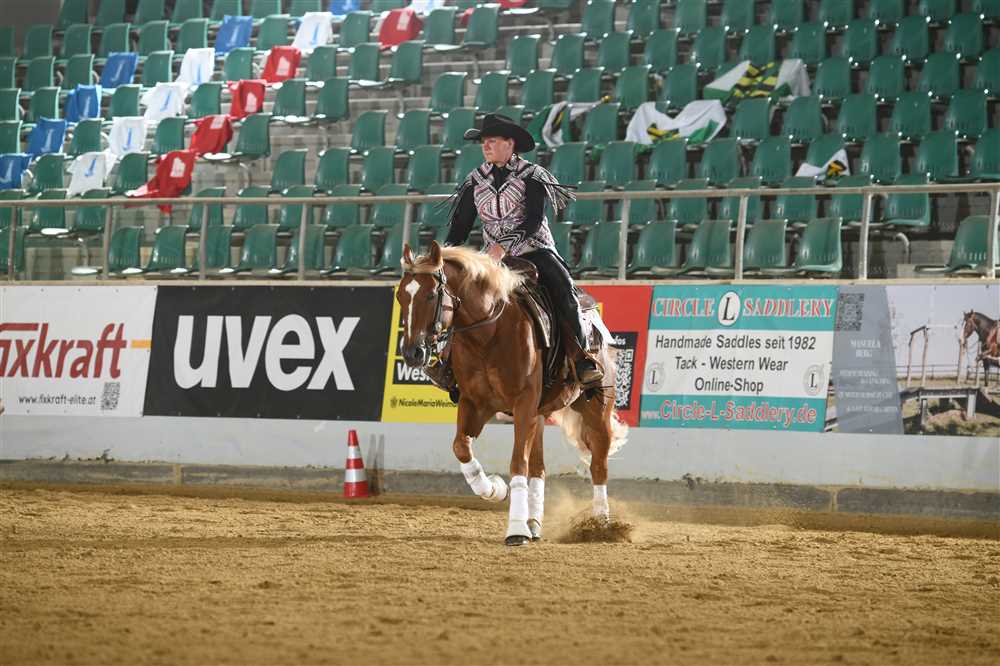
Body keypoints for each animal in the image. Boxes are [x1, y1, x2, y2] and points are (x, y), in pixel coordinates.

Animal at [396, 241, 628, 546]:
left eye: (431, 294)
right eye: (401, 296)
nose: (413, 353)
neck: (488, 333)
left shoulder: (523, 403)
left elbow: (518, 462)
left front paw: (516, 529)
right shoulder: (475, 403)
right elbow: (461, 447)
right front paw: (496, 490)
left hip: (595, 408)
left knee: (598, 466)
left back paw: (600, 525)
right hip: (539, 415)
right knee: (539, 468)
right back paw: (535, 523)